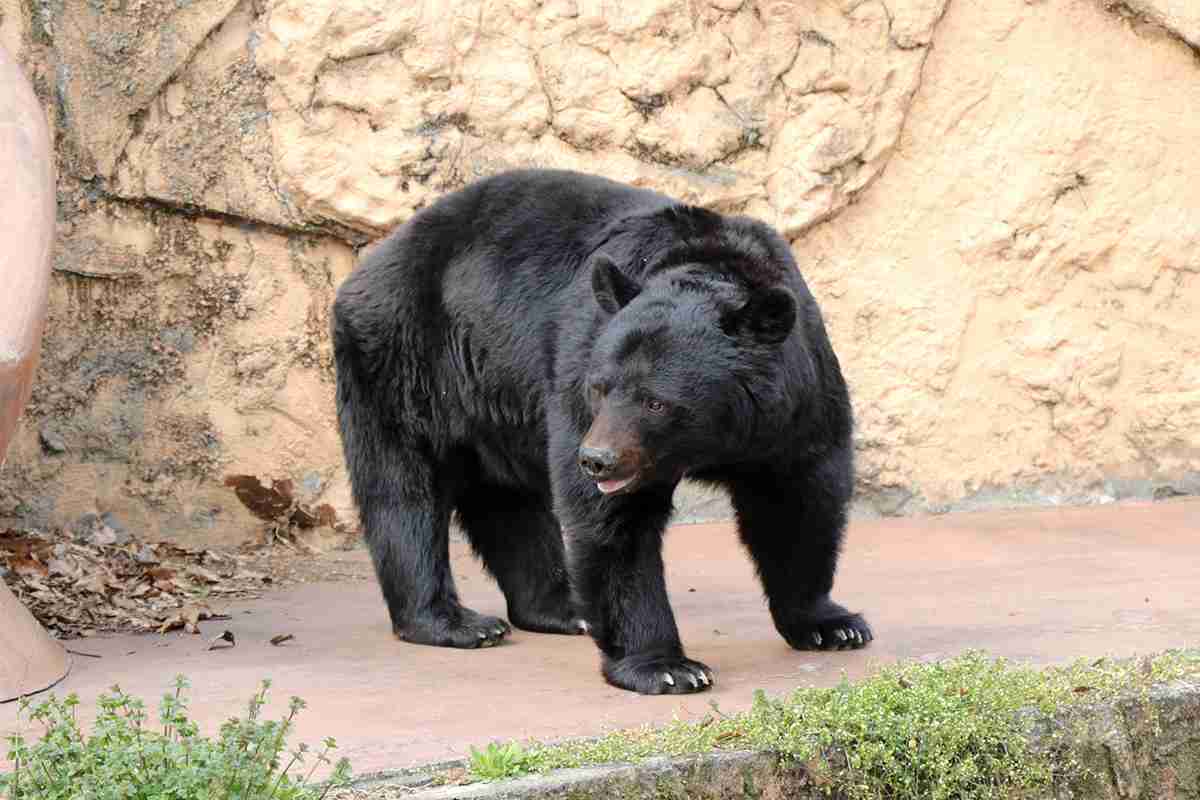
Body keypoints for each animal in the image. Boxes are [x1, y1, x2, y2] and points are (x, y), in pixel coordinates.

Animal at [332, 168, 871, 695]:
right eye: (600, 387)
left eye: (656, 401)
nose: (597, 459)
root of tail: (375, 260)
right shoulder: (579, 363)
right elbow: (613, 523)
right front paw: (666, 666)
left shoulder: (797, 398)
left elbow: (797, 497)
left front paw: (832, 624)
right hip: (406, 353)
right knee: (405, 487)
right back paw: (455, 621)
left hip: (493, 393)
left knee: (508, 500)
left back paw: (562, 607)